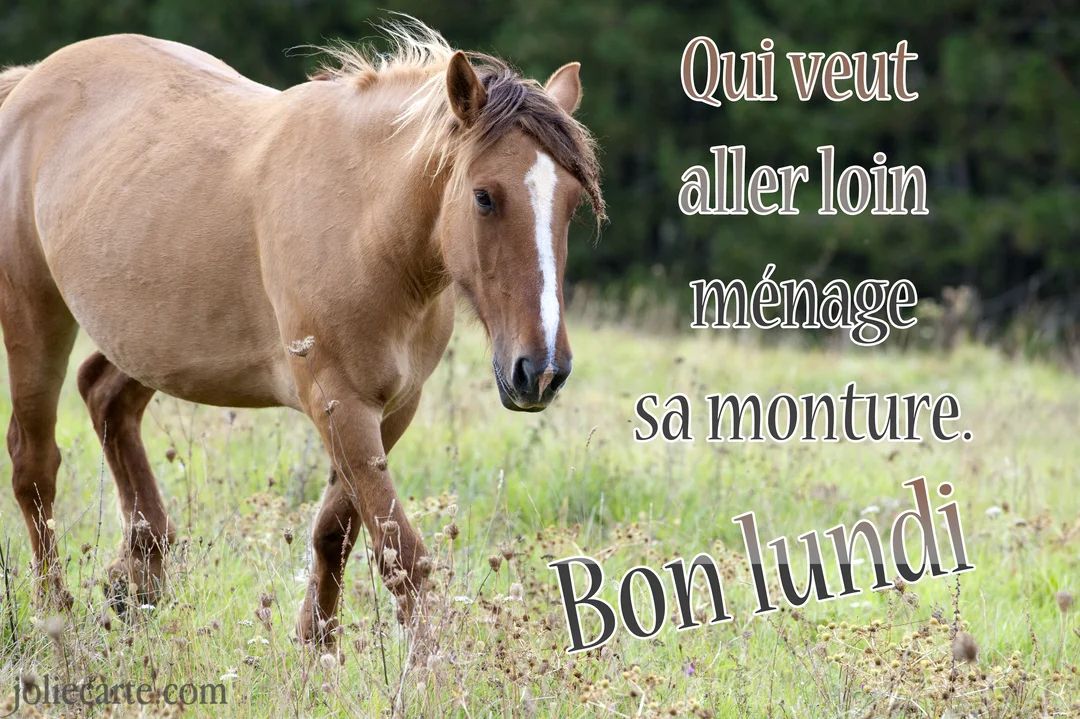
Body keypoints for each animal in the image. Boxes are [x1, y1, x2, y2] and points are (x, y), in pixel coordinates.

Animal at [0, 19, 604, 645]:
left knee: (104, 396)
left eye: (571, 205)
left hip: (154, 341)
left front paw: (319, 645)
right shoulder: (339, 403)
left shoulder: (391, 409)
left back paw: (136, 578)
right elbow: (400, 552)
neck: (366, 226)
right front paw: (428, 659)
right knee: (34, 463)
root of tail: (28, 84)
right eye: (484, 196)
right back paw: (54, 612)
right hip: (34, 313)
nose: (542, 371)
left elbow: (334, 533)